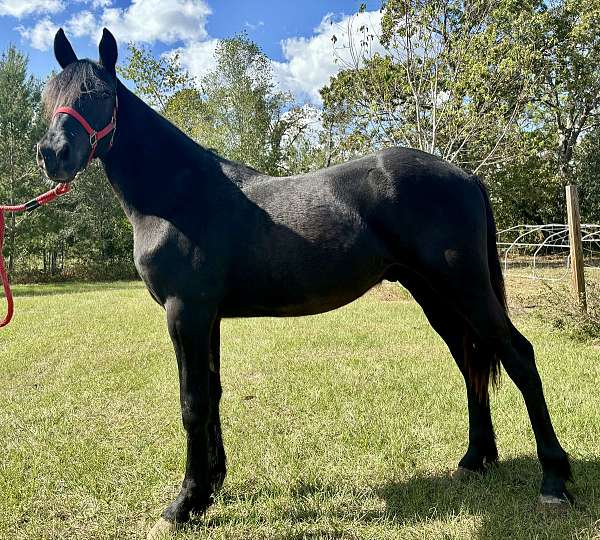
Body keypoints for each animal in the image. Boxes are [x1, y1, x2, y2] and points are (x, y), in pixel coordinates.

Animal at [36, 28, 572, 536]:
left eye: (99, 94)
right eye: (49, 94)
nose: (52, 154)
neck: (178, 196)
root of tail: (463, 175)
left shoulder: (185, 312)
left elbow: (192, 403)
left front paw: (182, 505)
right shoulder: (207, 317)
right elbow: (213, 394)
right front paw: (211, 487)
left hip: (466, 289)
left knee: (519, 357)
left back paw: (554, 480)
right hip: (435, 295)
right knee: (471, 362)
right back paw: (474, 459)